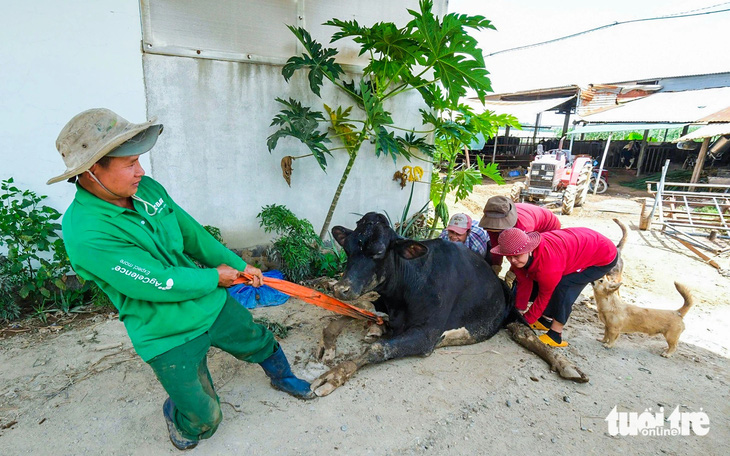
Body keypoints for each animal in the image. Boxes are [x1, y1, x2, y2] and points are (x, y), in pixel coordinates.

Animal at [312, 213, 524, 396]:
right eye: (347, 249)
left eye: (378, 252)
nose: (340, 288)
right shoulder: (383, 301)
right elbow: (356, 307)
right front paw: (327, 342)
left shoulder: (427, 335)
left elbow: (378, 348)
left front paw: (334, 374)